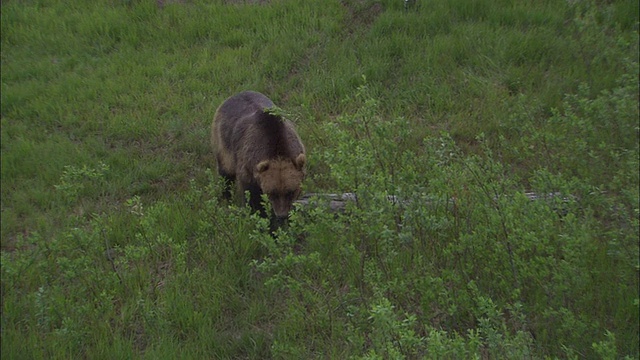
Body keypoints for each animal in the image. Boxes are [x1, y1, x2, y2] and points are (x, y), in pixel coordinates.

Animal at [211, 91, 306, 221]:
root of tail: (234, 95)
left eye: (290, 191)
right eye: (272, 192)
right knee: (226, 171)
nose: (282, 215)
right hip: (223, 140)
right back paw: (226, 197)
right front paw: (261, 215)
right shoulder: (248, 165)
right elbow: (252, 195)